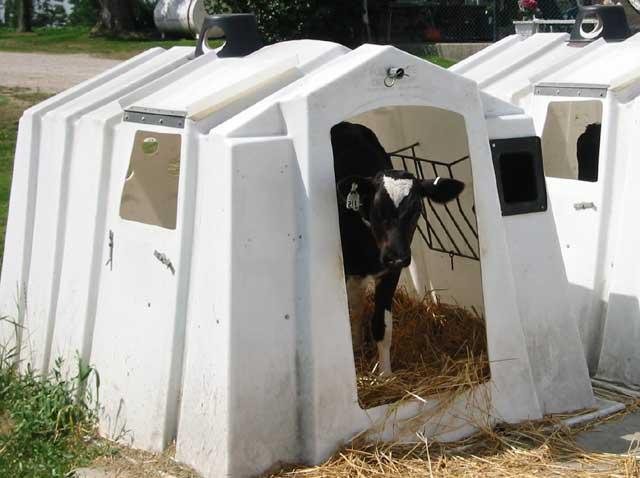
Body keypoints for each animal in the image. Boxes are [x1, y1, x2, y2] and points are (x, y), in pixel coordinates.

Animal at [330, 121, 464, 376]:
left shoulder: (390, 273)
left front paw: (385, 375)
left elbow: (381, 325)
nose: (397, 257)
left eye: (417, 209)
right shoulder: (347, 270)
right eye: (377, 209)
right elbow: (350, 311)